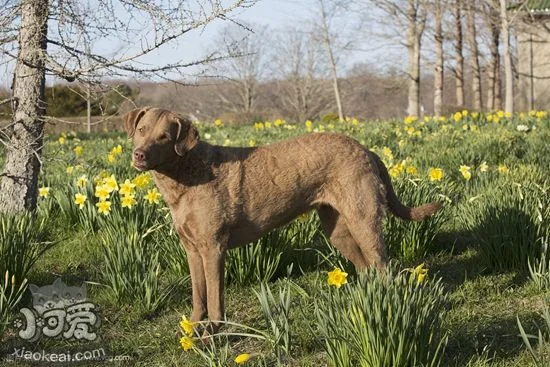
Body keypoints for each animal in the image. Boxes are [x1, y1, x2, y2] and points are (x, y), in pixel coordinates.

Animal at [124, 108, 440, 332]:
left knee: (383, 268)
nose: (139, 154)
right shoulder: (191, 248)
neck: (185, 175)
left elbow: (214, 296)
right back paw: (367, 305)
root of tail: (367, 150)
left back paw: (386, 309)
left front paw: (213, 332)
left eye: (165, 137)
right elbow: (198, 293)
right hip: (338, 230)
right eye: (141, 130)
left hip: (364, 220)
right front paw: (193, 327)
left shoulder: (213, 247)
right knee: (367, 269)